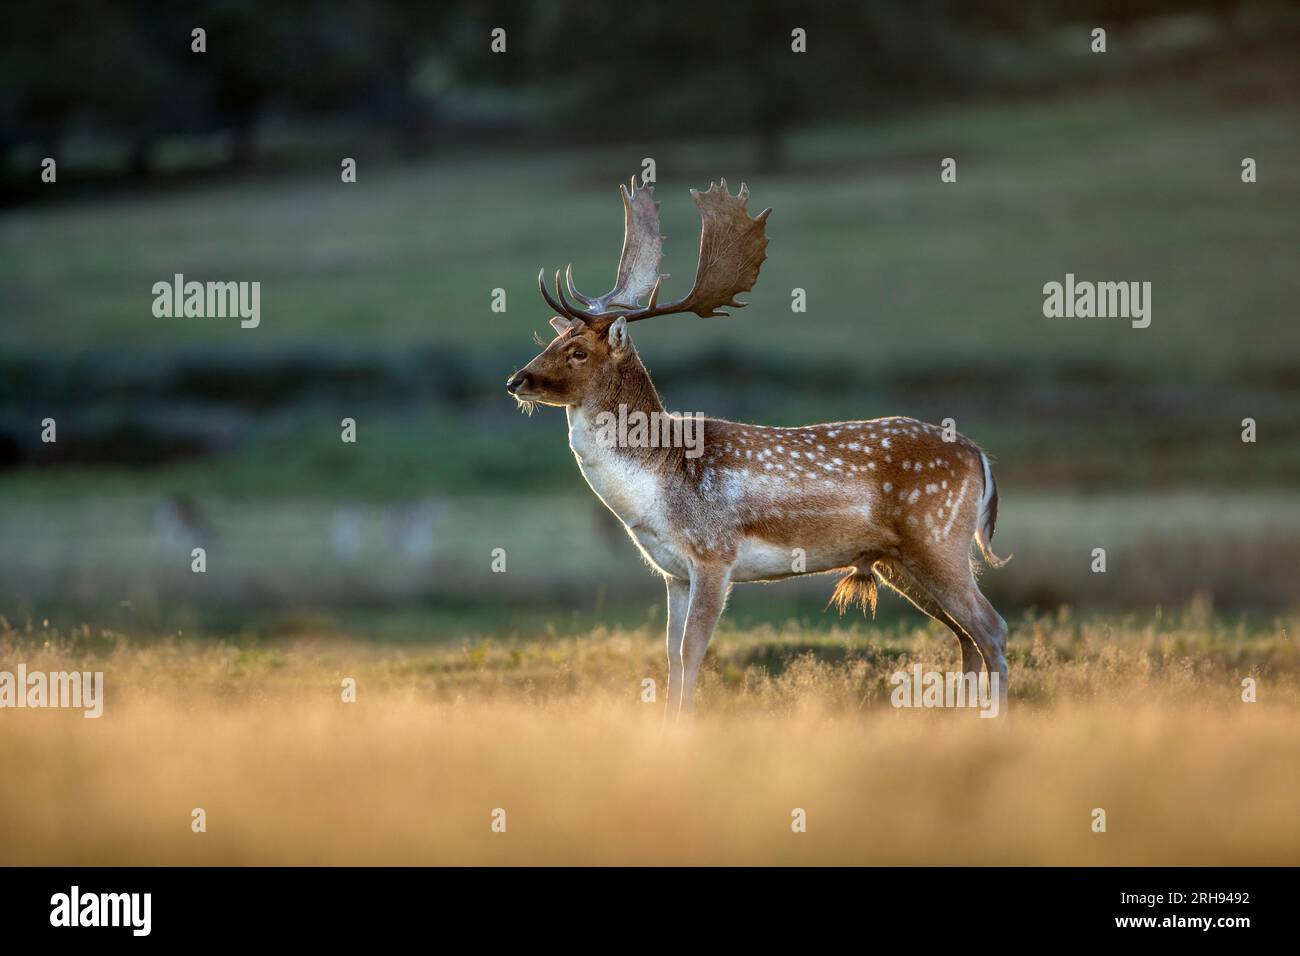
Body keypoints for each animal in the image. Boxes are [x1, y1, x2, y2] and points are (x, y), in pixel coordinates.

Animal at [506, 176, 1011, 721]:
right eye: (551, 341)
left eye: (579, 351)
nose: (516, 381)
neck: (658, 484)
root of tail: (980, 457)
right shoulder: (673, 572)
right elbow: (671, 654)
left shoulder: (714, 554)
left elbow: (693, 650)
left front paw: (683, 728)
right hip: (902, 560)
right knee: (965, 636)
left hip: (938, 538)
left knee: (992, 628)